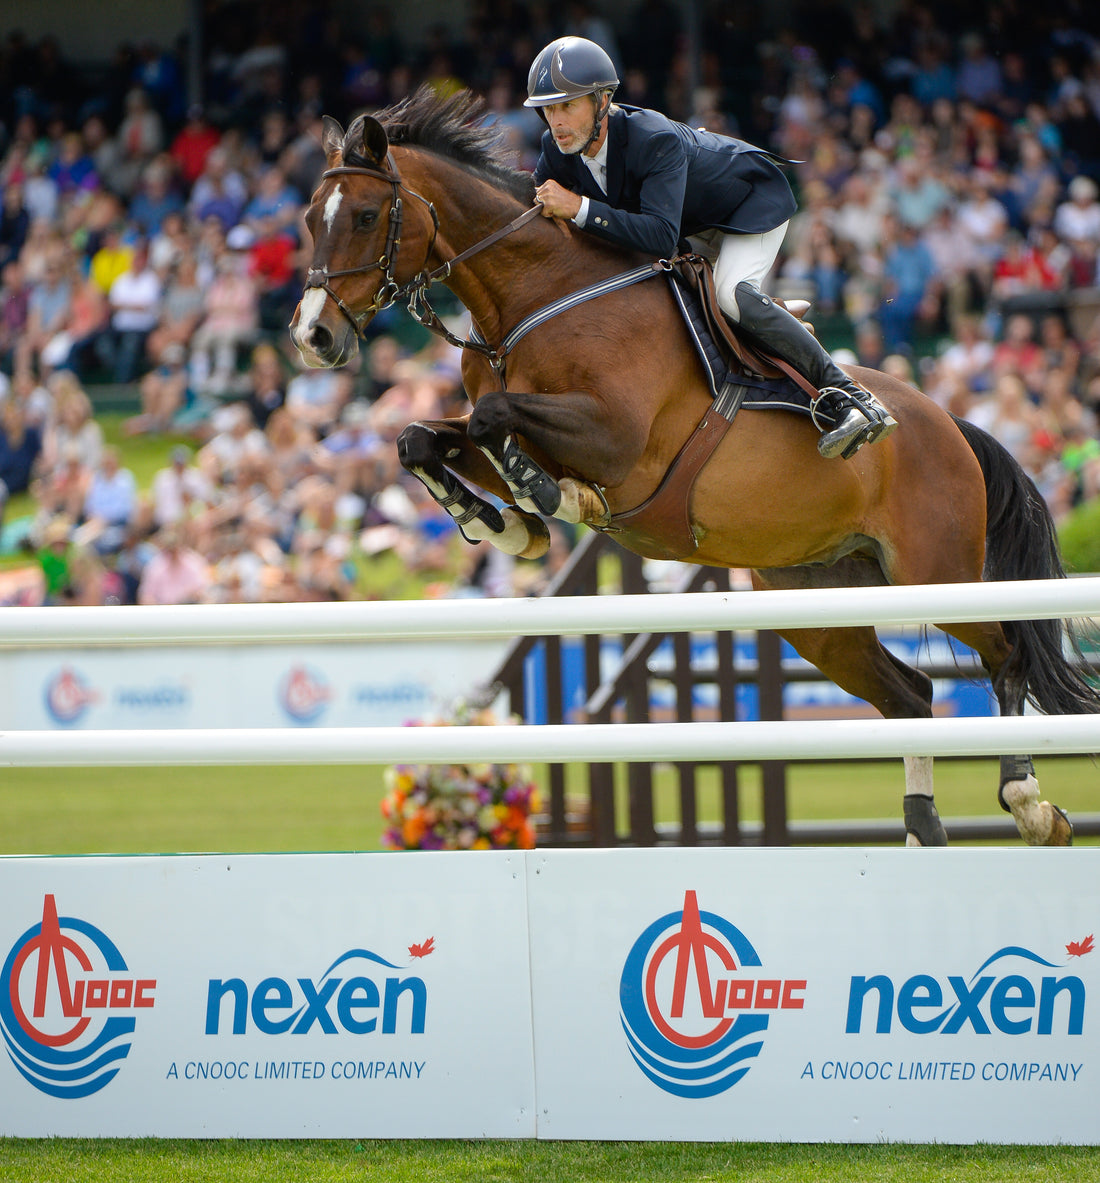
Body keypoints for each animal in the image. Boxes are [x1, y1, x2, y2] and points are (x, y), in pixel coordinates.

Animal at [287, 89, 1092, 851]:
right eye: (306, 219)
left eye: (365, 216)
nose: (312, 337)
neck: (531, 296)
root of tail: (948, 422)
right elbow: (421, 440)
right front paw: (505, 523)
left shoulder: (615, 439)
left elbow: (497, 420)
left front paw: (547, 497)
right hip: (816, 599)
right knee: (911, 696)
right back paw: (924, 827)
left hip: (936, 571)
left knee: (1008, 651)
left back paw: (1030, 803)